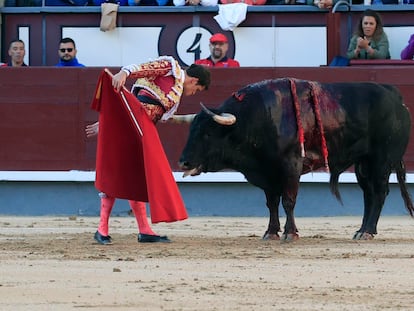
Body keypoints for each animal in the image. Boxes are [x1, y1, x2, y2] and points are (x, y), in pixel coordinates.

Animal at [178, 78, 414, 241]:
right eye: (191, 131)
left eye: (208, 134)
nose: (183, 162)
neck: (255, 118)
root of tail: (395, 96)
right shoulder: (267, 172)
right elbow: (271, 203)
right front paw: (271, 232)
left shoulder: (290, 166)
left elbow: (288, 200)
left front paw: (290, 233)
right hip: (363, 164)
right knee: (369, 194)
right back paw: (361, 230)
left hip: (382, 160)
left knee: (380, 192)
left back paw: (369, 231)